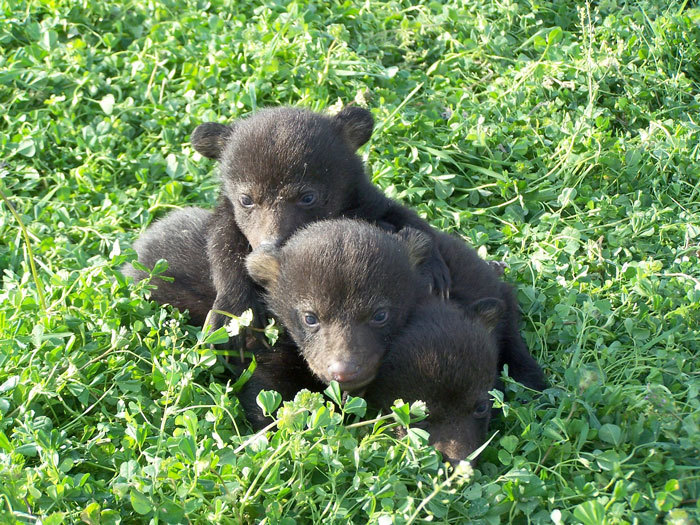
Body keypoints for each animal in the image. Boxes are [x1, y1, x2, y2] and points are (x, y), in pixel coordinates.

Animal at [189, 106, 450, 339]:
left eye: (307, 197)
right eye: (246, 199)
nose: (270, 245)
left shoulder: (363, 200)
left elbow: (402, 215)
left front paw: (434, 271)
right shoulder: (228, 218)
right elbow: (222, 244)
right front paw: (232, 314)